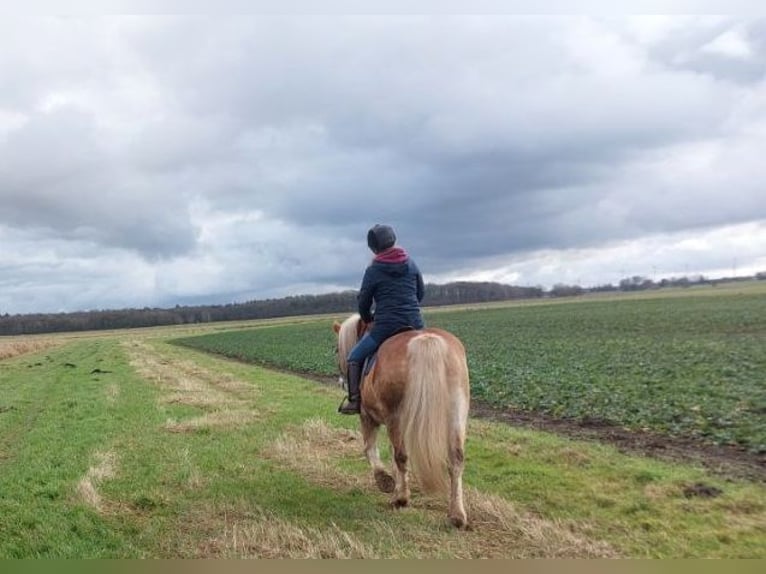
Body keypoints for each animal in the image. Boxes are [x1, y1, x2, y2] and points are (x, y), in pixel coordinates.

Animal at [332, 313, 471, 528]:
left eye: (338, 350)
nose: (341, 381)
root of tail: (425, 340)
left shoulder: (367, 416)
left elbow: (370, 449)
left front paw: (385, 481)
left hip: (395, 419)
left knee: (401, 456)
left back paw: (401, 499)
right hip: (456, 416)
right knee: (456, 459)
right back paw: (457, 515)